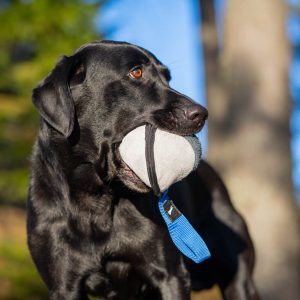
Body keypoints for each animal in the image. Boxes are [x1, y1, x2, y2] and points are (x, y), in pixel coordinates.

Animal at [27, 40, 258, 300]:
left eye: (167, 77)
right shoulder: (64, 285)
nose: (201, 113)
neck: (96, 199)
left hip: (239, 281)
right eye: (136, 72)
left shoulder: (171, 275)